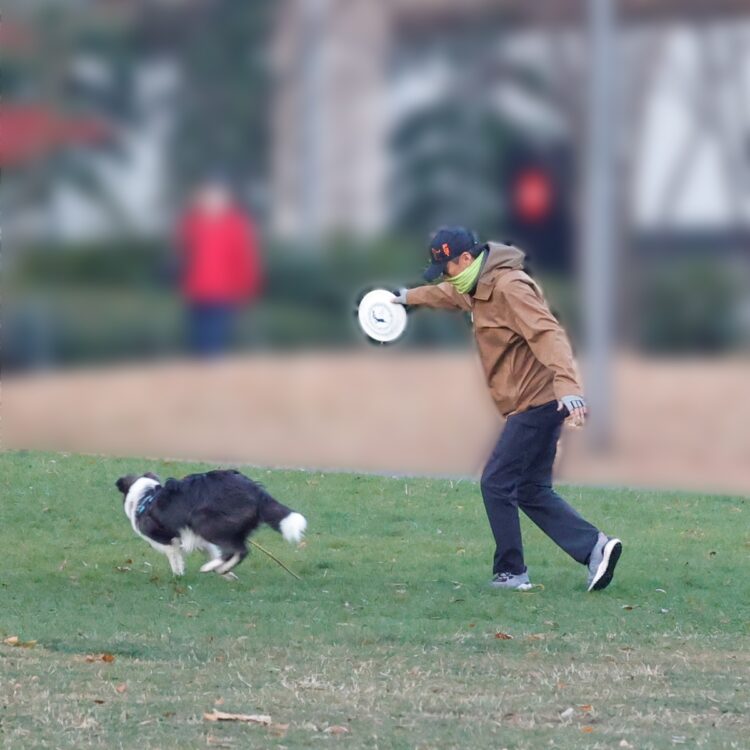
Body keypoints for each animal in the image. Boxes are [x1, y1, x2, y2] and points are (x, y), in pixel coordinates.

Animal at [115, 472, 308, 580]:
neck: (144, 497)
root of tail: (255, 491)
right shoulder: (199, 540)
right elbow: (213, 552)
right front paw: (227, 575)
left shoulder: (167, 541)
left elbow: (175, 559)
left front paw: (178, 576)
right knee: (237, 550)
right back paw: (221, 568)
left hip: (205, 522)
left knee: (239, 550)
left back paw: (212, 568)